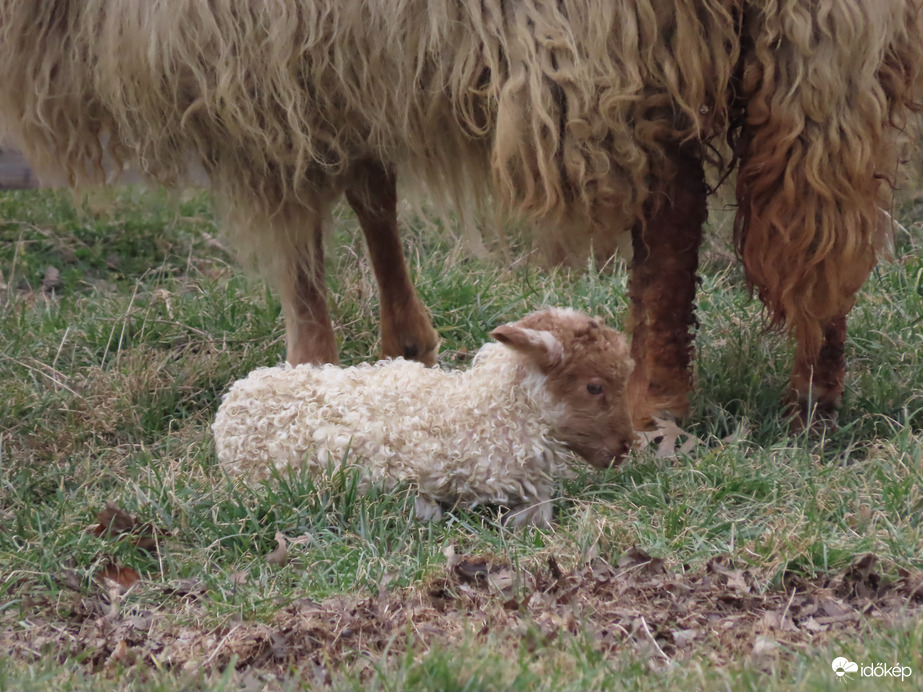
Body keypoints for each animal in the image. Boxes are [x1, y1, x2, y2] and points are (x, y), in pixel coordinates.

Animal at [0, 1, 920, 428]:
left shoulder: (255, 69)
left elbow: (299, 245)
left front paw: (304, 372)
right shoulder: (334, 58)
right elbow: (370, 185)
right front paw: (404, 344)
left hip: (614, 44)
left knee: (673, 205)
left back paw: (657, 402)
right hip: (833, 61)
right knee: (832, 224)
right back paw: (814, 391)